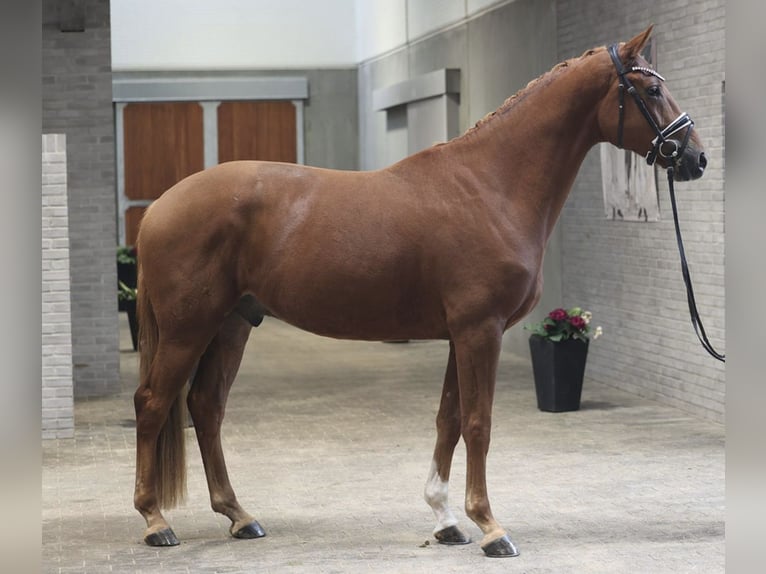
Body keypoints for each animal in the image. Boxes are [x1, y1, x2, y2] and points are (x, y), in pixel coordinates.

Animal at [132, 26, 706, 558]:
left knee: (205, 406)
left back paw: (239, 515)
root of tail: (159, 207)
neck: (490, 185)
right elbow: (478, 423)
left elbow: (448, 420)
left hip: (233, 323)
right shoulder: (481, 330)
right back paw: (156, 521)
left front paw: (446, 520)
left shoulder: (460, 334)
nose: (695, 158)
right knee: (154, 403)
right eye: (652, 89)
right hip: (189, 328)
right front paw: (490, 526)